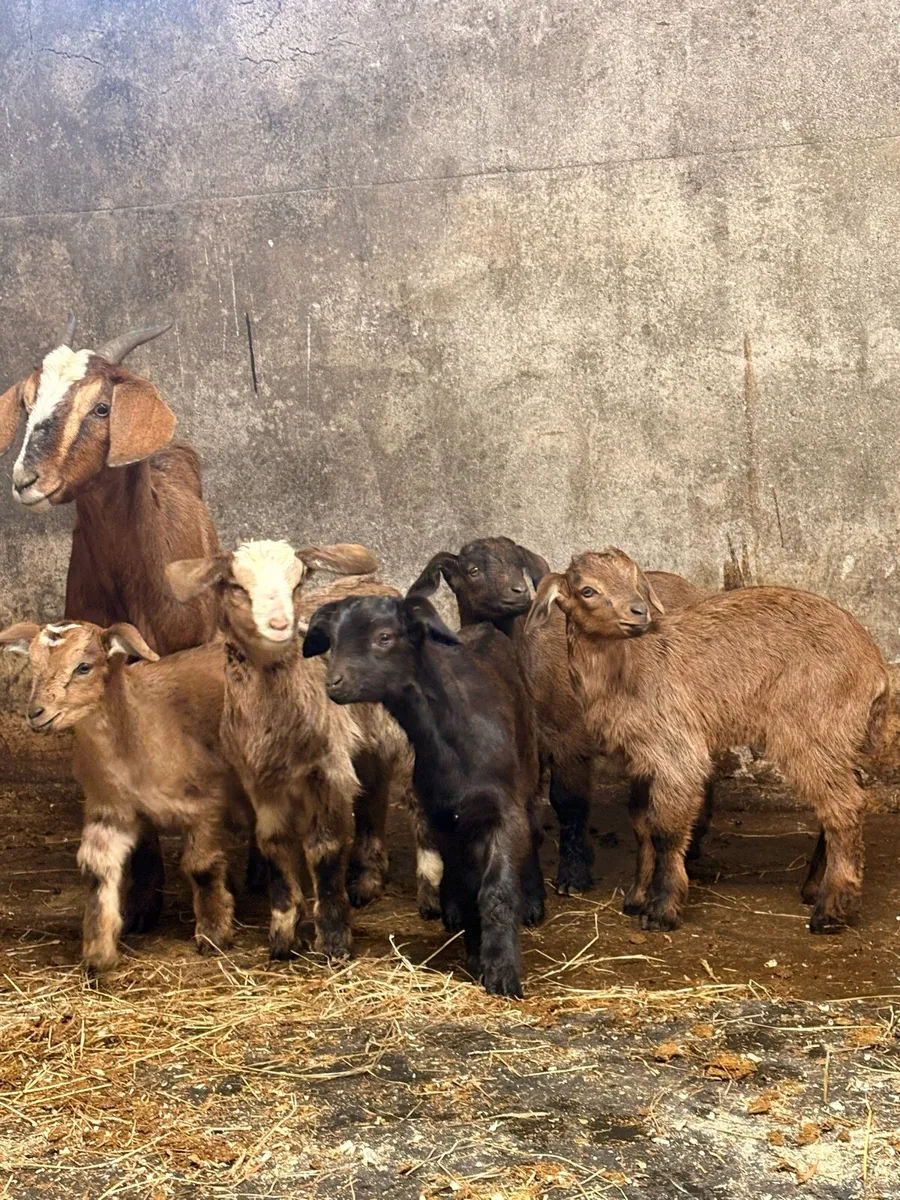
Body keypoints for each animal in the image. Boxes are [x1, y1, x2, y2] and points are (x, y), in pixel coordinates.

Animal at [0, 621, 246, 973]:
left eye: (83, 667)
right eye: (32, 665)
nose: (35, 713)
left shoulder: (206, 802)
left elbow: (201, 867)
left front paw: (213, 934)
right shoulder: (111, 810)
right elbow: (98, 871)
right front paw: (98, 951)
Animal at [166, 541, 413, 961]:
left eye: (297, 583)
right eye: (236, 586)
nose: (280, 624)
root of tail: (375, 584)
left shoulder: (327, 769)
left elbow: (325, 849)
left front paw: (332, 938)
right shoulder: (260, 779)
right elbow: (274, 845)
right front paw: (283, 934)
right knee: (372, 791)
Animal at [303, 591, 545, 998]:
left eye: (384, 637)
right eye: (332, 639)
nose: (334, 683)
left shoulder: (504, 811)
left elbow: (496, 890)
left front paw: (502, 973)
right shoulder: (445, 817)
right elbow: (466, 886)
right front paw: (476, 956)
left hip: (528, 759)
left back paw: (533, 902)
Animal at [411, 538, 710, 894]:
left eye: (518, 564)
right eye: (473, 570)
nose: (517, 592)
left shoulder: (569, 738)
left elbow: (569, 803)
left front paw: (573, 874)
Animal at [528, 547, 889, 935]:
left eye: (633, 579)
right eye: (587, 590)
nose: (639, 612)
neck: (629, 669)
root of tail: (876, 667)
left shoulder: (675, 751)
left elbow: (666, 830)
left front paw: (662, 910)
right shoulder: (641, 759)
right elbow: (640, 823)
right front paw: (637, 897)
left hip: (810, 728)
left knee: (845, 805)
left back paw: (831, 910)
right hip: (835, 735)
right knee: (846, 795)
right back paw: (813, 888)